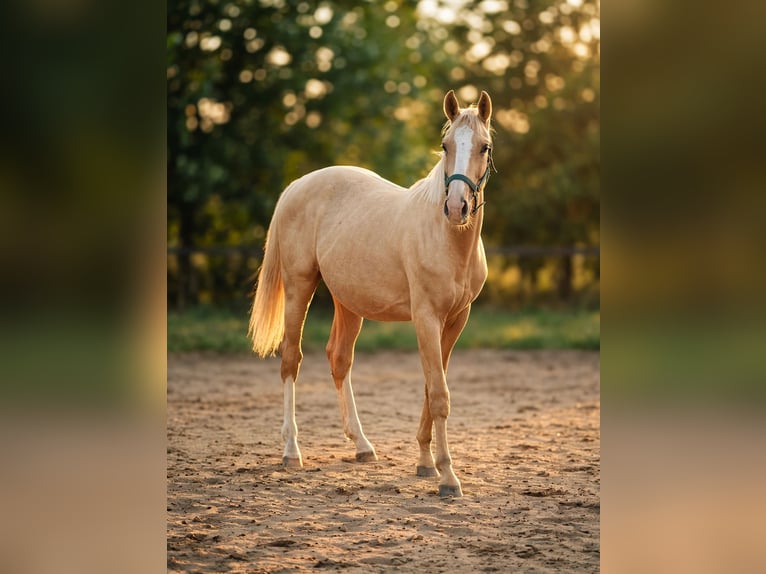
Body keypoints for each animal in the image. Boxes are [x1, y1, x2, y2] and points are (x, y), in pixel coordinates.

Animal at [248, 90, 494, 497]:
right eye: (445, 145)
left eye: (484, 147)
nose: (456, 207)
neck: (445, 238)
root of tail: (297, 186)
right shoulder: (426, 318)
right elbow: (439, 395)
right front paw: (447, 476)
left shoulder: (457, 320)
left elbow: (431, 387)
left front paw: (425, 463)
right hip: (300, 287)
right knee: (291, 360)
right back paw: (291, 452)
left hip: (348, 302)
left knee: (338, 359)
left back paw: (362, 446)